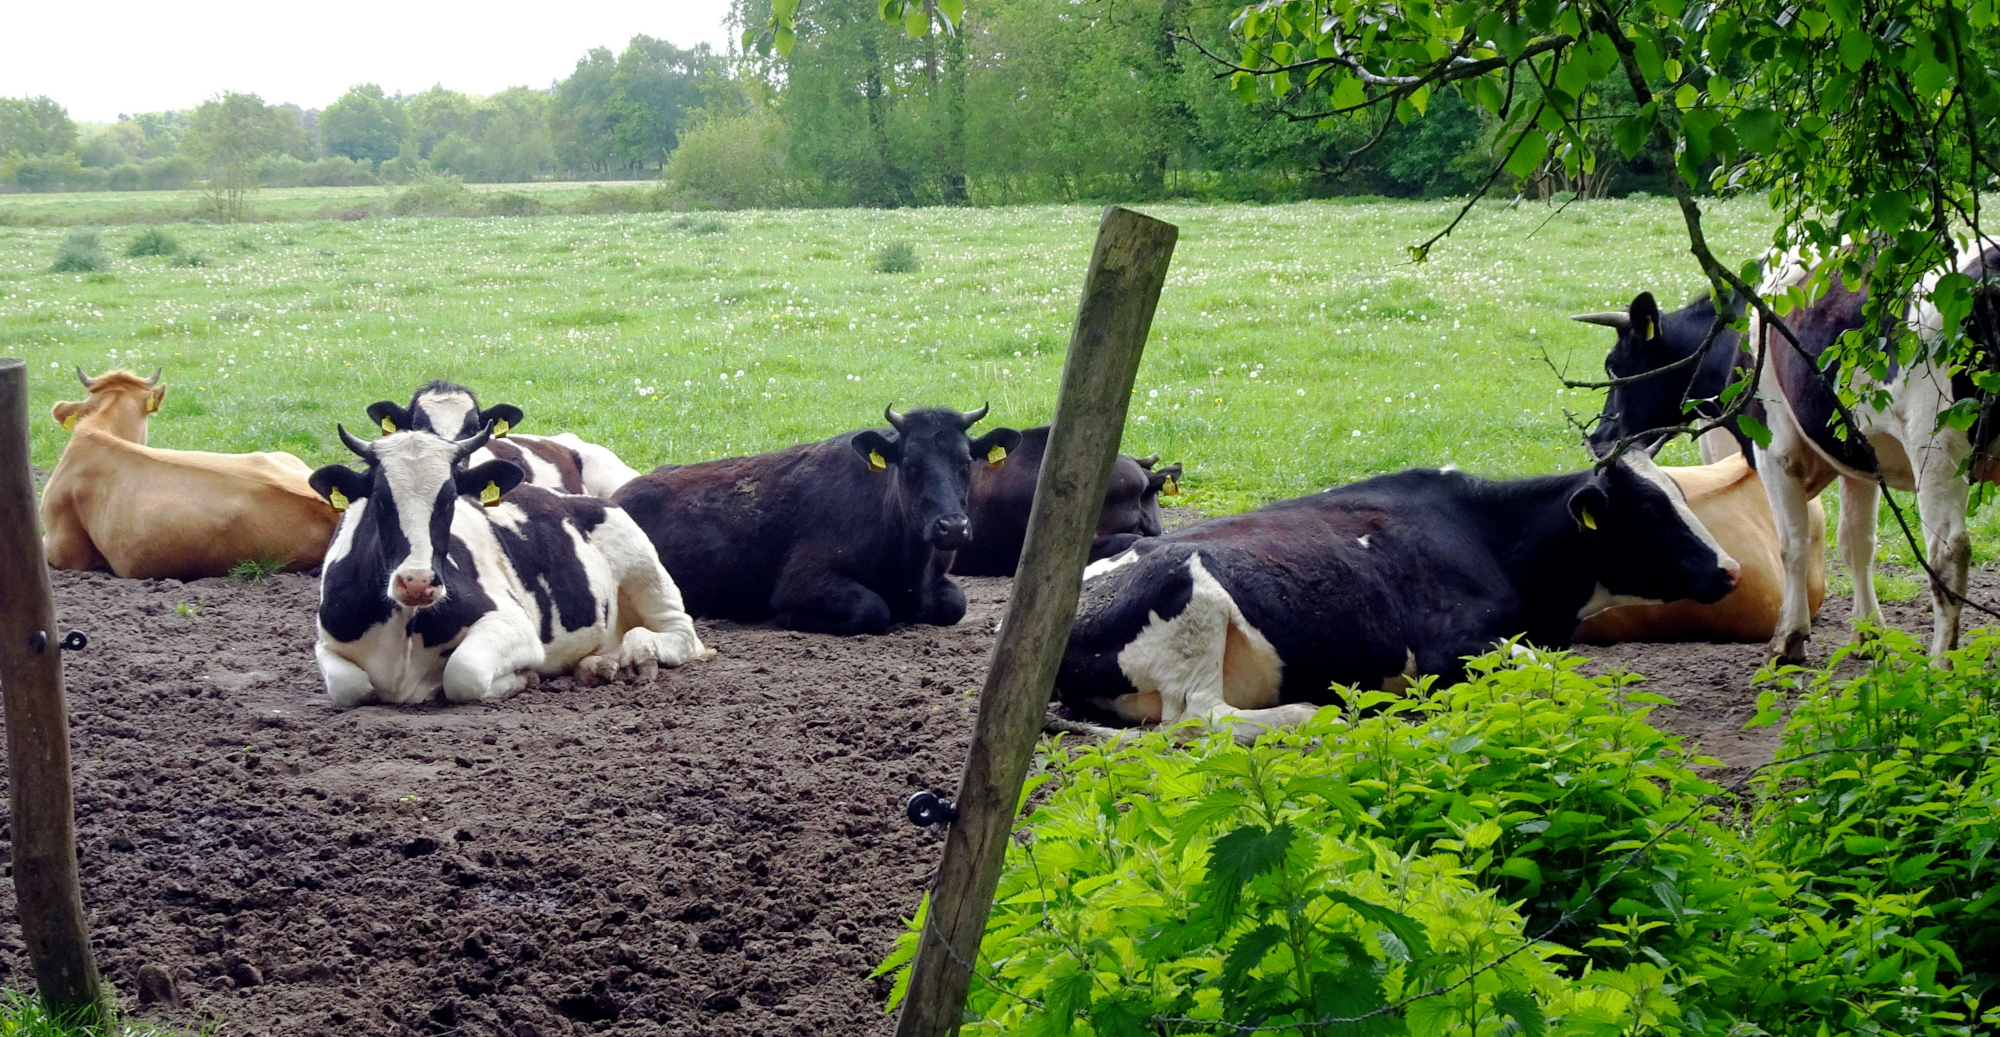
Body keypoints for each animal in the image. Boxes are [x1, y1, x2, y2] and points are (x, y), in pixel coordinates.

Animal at [307, 423, 709, 706]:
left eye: (450, 497)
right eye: (379, 498)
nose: (417, 582)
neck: (404, 626)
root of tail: (574, 496)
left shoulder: (513, 624)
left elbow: (463, 673)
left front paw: (521, 678)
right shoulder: (326, 642)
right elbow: (350, 686)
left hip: (643, 565)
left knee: (680, 634)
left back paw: (641, 651)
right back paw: (597, 665)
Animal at [612, 404, 1023, 635]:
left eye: (966, 463)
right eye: (909, 465)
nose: (952, 526)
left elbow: (956, 602)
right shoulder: (801, 581)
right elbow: (872, 609)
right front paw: (791, 619)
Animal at [1056, 450, 1740, 741]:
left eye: (1680, 494)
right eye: (1649, 509)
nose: (1731, 570)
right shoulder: (1448, 647)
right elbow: (1549, 673)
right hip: (1189, 597)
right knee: (1202, 717)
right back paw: (1311, 713)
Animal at [1758, 245, 2000, 663]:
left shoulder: (1775, 446)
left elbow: (1793, 543)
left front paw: (1789, 636)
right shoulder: (1861, 458)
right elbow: (1857, 542)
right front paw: (1869, 634)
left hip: (1937, 441)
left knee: (1948, 554)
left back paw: (1941, 662)